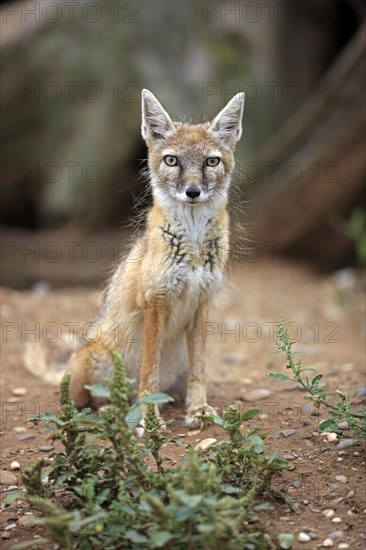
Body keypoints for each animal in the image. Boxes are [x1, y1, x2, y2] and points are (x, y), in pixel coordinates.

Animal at [24, 89, 244, 436]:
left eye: (211, 161)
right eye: (172, 160)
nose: (192, 191)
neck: (193, 249)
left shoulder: (202, 305)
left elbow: (199, 370)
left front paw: (198, 409)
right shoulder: (156, 304)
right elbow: (148, 374)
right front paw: (148, 419)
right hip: (97, 361)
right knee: (91, 402)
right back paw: (113, 411)